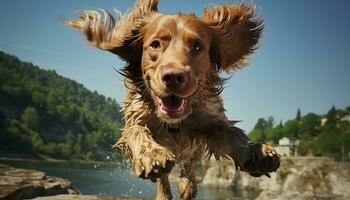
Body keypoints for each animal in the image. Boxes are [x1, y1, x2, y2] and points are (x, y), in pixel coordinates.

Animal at [67, 0, 278, 199]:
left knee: (190, 163)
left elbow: (233, 133)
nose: (174, 77)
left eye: (197, 46)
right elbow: (137, 132)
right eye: (155, 44)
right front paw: (151, 154)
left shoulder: (211, 123)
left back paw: (187, 185)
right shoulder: (135, 118)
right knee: (165, 176)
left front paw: (256, 151)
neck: (174, 123)